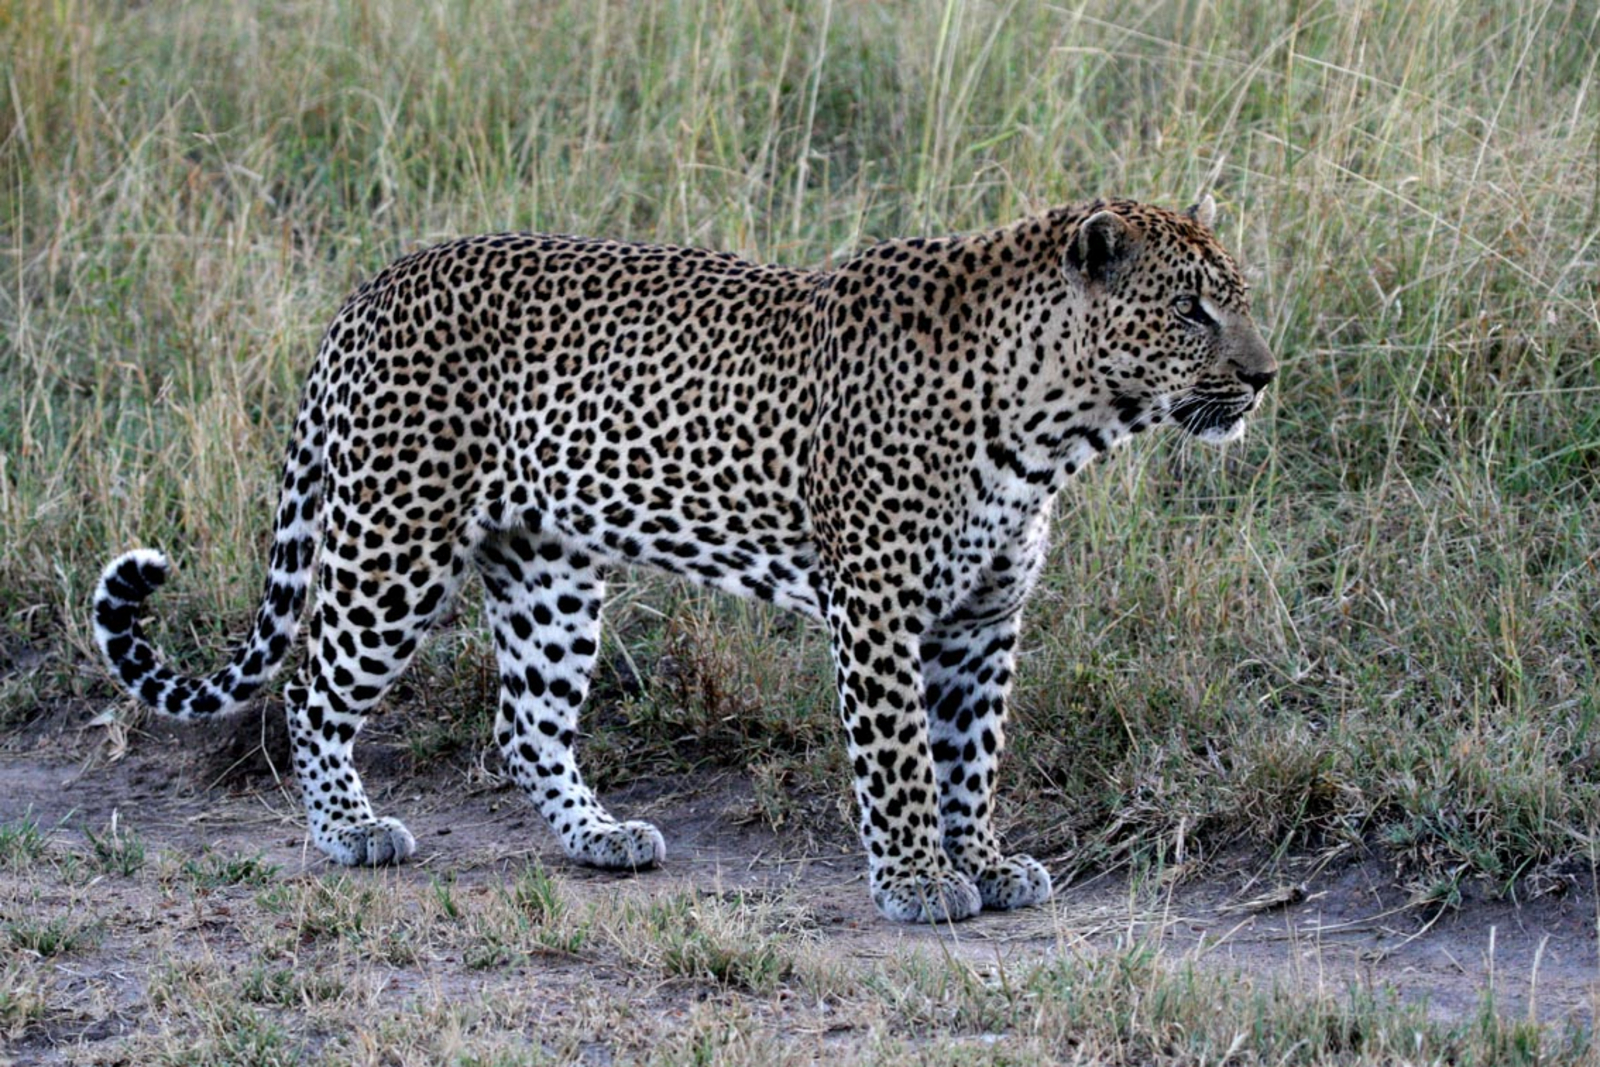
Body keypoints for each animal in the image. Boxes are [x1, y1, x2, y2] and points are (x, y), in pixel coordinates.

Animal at [93, 195, 1275, 924]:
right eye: (1192, 309)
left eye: (1241, 299)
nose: (1266, 377)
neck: (1056, 423)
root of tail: (374, 285)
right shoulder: (881, 610)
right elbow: (901, 757)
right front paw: (916, 881)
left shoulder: (981, 620)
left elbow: (970, 756)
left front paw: (980, 860)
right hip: (397, 539)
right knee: (312, 686)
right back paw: (350, 829)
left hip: (548, 570)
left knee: (526, 722)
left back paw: (599, 836)